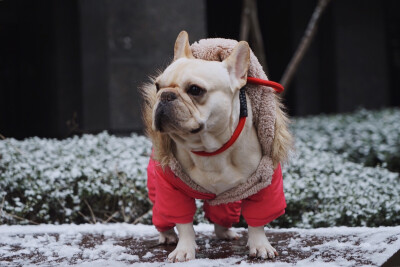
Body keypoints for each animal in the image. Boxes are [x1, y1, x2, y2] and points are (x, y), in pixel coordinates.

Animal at [141, 30, 290, 262]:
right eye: (157, 86)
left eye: (195, 90)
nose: (165, 95)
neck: (210, 147)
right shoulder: (172, 187)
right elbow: (183, 223)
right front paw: (184, 249)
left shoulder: (264, 182)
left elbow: (258, 221)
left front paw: (260, 245)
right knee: (162, 214)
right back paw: (167, 235)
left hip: (231, 195)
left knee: (223, 211)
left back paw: (225, 231)